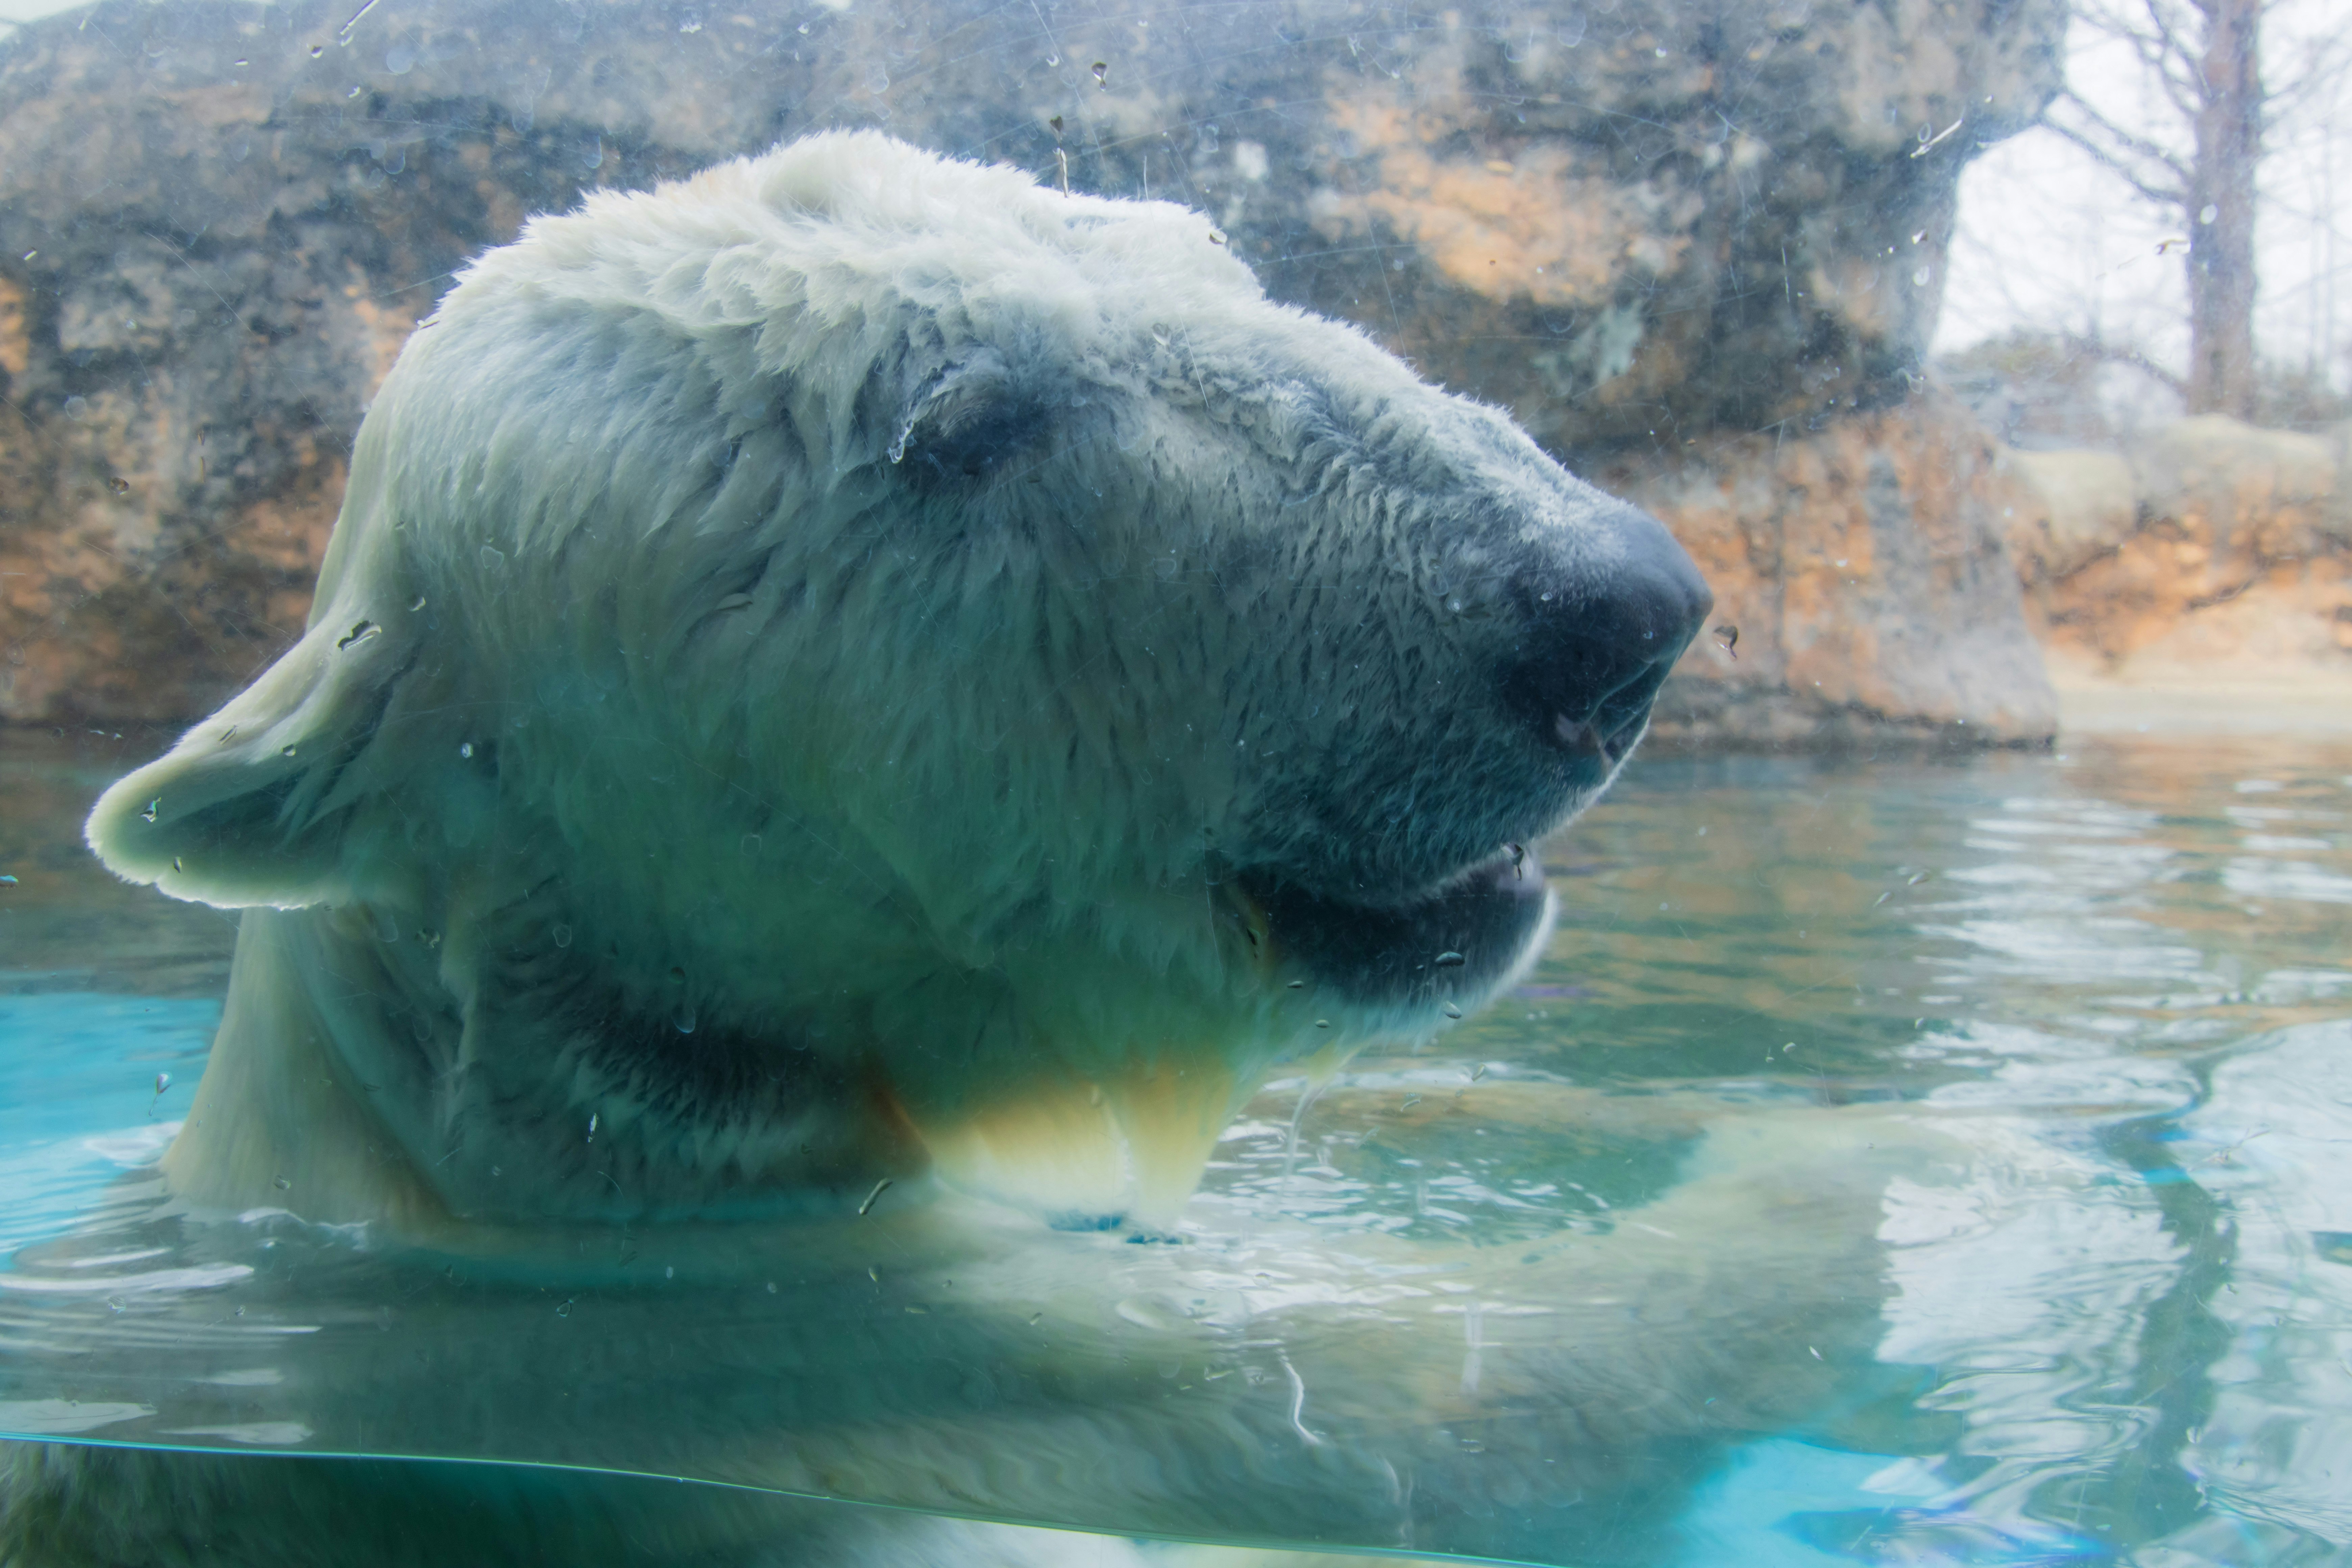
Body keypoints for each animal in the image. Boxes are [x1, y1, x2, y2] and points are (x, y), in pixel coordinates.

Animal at [0, 134, 1984, 1568]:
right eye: (956, 420)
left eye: (1215, 264)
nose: (1609, 613)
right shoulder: (804, 1367)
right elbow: (1469, 1394)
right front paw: (1895, 1151)